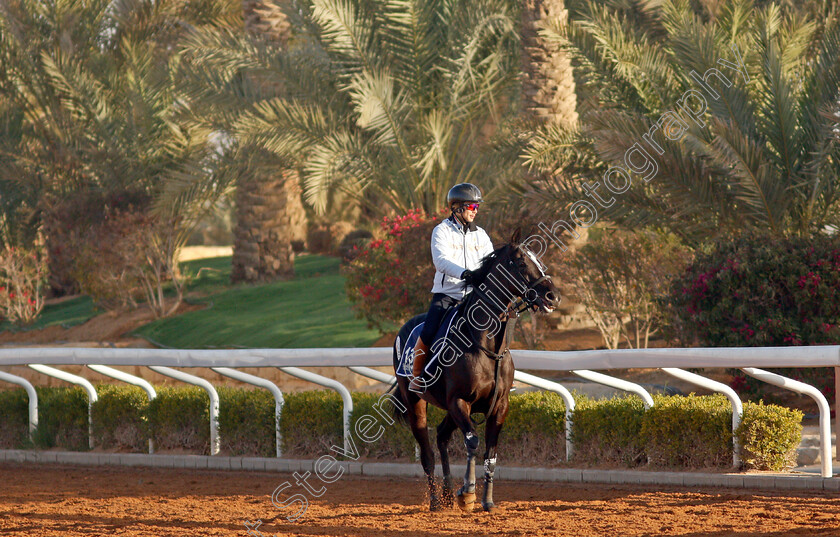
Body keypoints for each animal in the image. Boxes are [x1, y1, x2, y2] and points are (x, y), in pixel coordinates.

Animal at [392, 230, 560, 510]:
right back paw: (436, 501)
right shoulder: (459, 401)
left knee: (441, 436)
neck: (485, 345)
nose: (552, 296)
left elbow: (490, 453)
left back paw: (448, 495)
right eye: (521, 261)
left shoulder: (499, 406)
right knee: (427, 451)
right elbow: (472, 442)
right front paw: (467, 492)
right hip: (415, 401)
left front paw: (487, 501)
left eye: (538, 259)